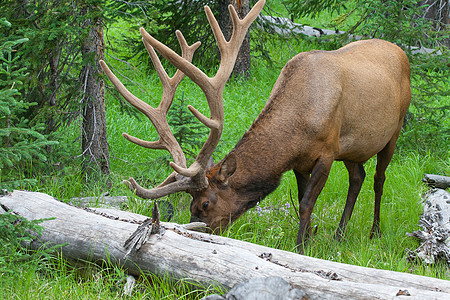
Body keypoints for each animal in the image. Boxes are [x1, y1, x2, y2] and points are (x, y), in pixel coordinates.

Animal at [101, 0, 412, 253]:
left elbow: (306, 204)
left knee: (378, 179)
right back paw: (339, 234)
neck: (297, 130)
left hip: (394, 130)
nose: (197, 230)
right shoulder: (301, 162)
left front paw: (301, 248)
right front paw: (309, 239)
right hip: (355, 148)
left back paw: (374, 231)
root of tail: (401, 50)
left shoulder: (327, 152)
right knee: (358, 176)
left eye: (205, 204)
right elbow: (304, 200)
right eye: (190, 204)